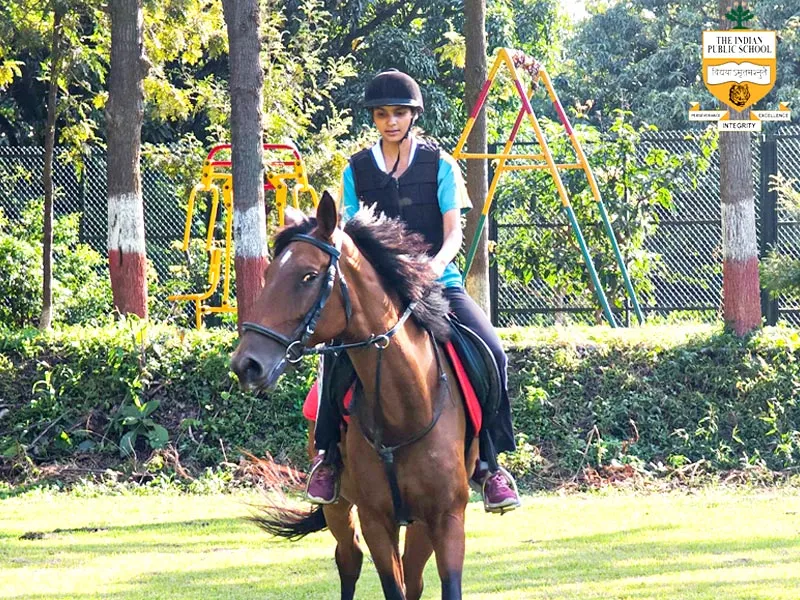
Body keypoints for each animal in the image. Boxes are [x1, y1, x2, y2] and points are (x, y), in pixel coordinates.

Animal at [228, 193, 478, 600]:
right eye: (267, 276)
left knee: (413, 575)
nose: (246, 365)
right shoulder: (374, 519)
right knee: (349, 558)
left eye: (308, 276)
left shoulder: (446, 518)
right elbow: (390, 583)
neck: (406, 408)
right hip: (339, 508)